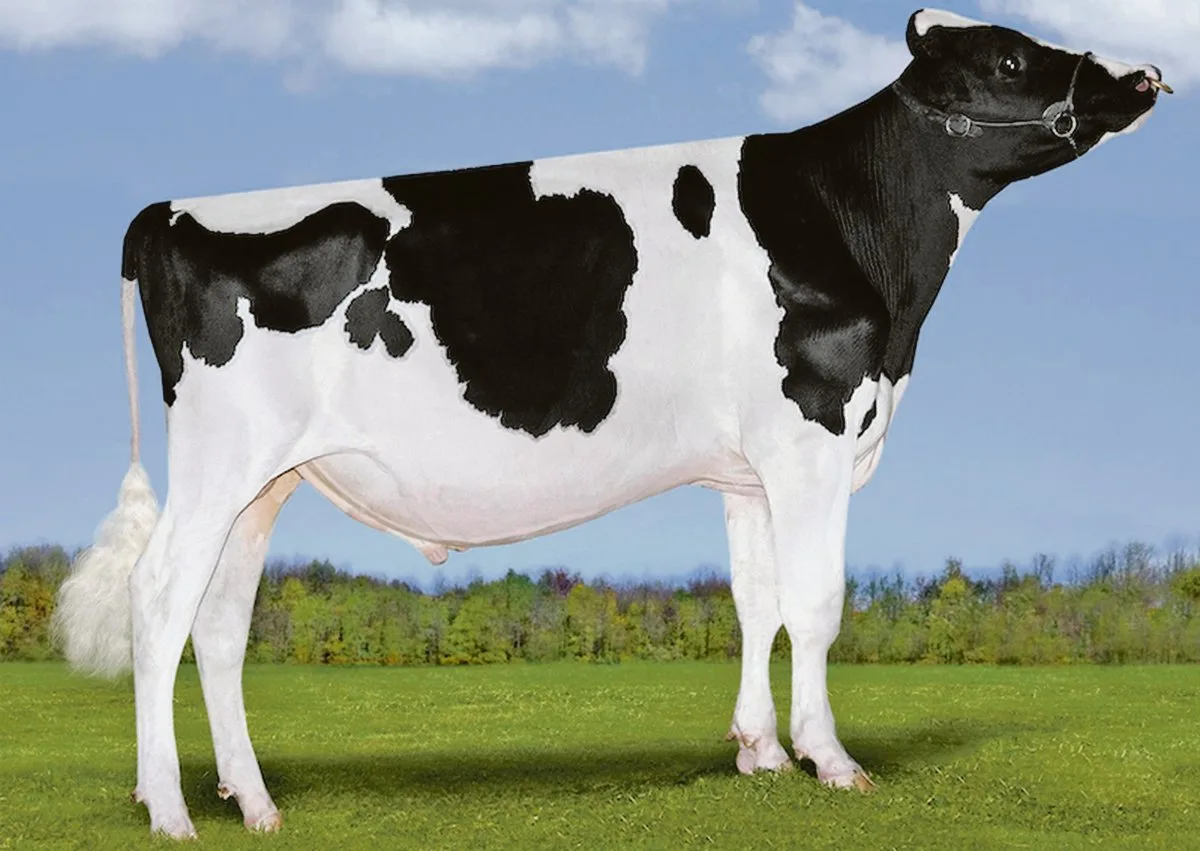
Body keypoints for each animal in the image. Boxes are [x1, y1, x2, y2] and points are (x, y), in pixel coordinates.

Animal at [53, 8, 1168, 839]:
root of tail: (169, 207)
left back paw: (254, 801)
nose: (1149, 71)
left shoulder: (747, 470)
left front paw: (762, 752)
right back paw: (169, 809)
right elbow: (815, 604)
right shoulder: (811, 434)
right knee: (160, 597)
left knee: (218, 620)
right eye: (1011, 58)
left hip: (265, 479)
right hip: (221, 458)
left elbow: (757, 602)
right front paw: (833, 759)